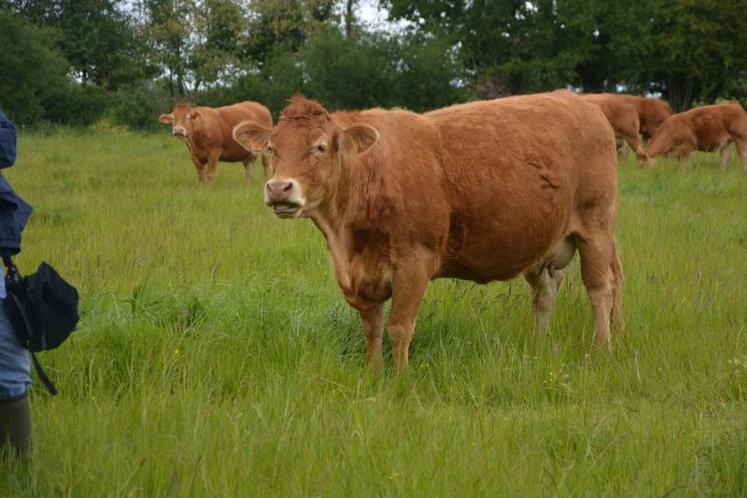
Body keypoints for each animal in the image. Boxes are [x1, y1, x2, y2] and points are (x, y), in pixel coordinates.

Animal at [235, 92, 624, 370]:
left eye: (320, 147)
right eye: (272, 147)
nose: (279, 188)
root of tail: (582, 103)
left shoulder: (414, 263)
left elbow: (399, 328)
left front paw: (400, 380)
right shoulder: (361, 276)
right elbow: (372, 328)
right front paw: (373, 374)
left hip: (595, 226)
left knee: (600, 288)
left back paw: (603, 348)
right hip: (543, 242)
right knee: (546, 290)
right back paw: (539, 343)